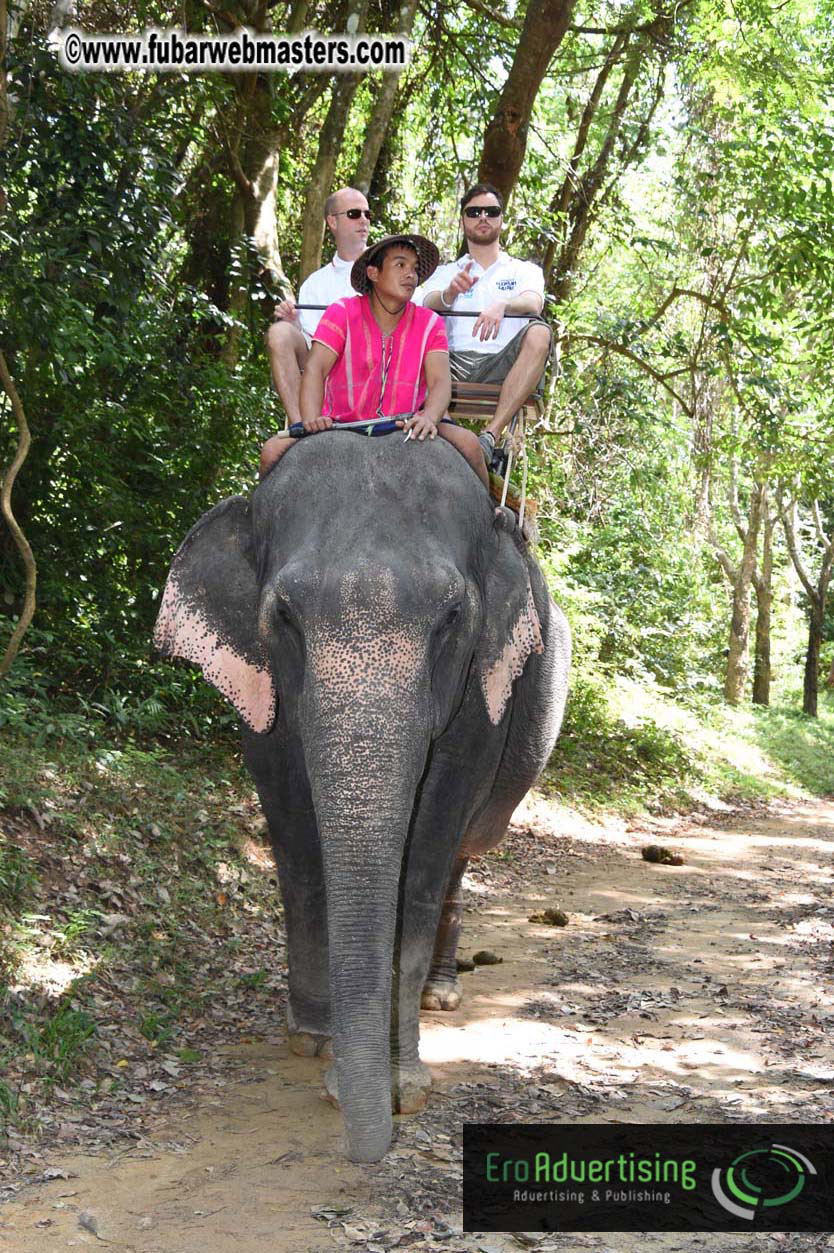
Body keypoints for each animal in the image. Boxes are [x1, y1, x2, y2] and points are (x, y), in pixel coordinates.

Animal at [154, 433, 570, 1162]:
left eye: (453, 617)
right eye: (283, 615)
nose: (367, 1140)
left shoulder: (480, 697)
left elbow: (423, 856)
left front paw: (405, 1085)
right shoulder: (262, 693)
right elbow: (293, 837)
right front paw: (314, 1040)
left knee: (458, 857)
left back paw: (439, 995)